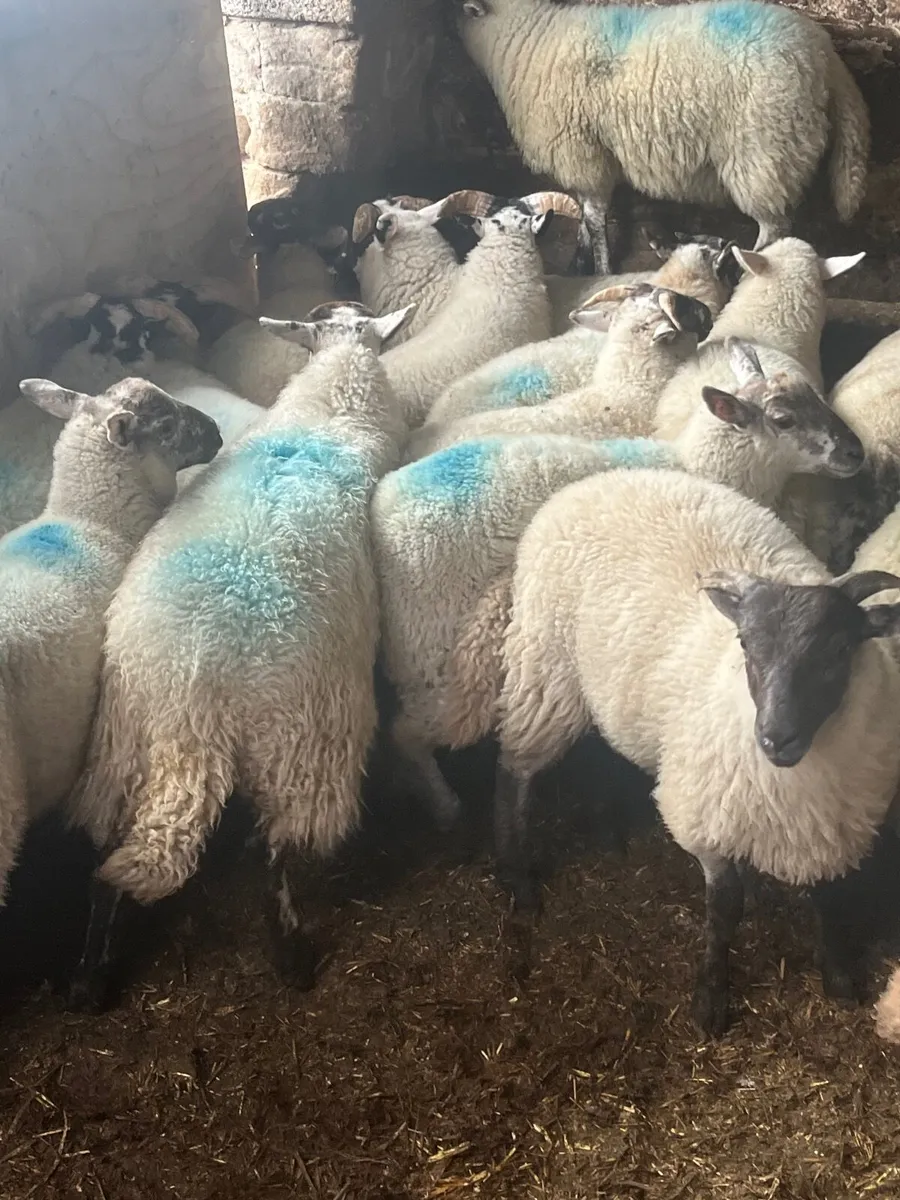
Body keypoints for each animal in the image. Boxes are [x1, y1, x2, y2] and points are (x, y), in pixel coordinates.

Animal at [65, 301, 414, 1010]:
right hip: (305, 745)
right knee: (271, 850)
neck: (328, 406)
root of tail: (191, 708)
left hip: (119, 748)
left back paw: (90, 976)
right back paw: (291, 954)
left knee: (109, 855)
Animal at [376, 338, 864, 830]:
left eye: (813, 395)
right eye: (783, 419)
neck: (691, 460)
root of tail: (383, 510)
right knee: (413, 730)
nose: (855, 453)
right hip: (430, 651)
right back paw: (443, 804)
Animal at [456, 0, 870, 273]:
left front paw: (599, 268)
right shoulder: (589, 156)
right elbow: (584, 214)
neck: (526, 39)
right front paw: (580, 259)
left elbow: (593, 217)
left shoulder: (582, 151)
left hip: (764, 153)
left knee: (774, 227)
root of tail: (825, 55)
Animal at [493, 467, 900, 1035]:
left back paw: (608, 833)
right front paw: (710, 1001)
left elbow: (829, 899)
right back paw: (521, 882)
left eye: (840, 650)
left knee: (598, 753)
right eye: (746, 644)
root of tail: (597, 479)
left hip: (599, 687)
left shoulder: (830, 828)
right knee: (517, 773)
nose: (776, 737)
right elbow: (725, 910)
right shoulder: (706, 819)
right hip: (544, 667)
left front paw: (839, 978)